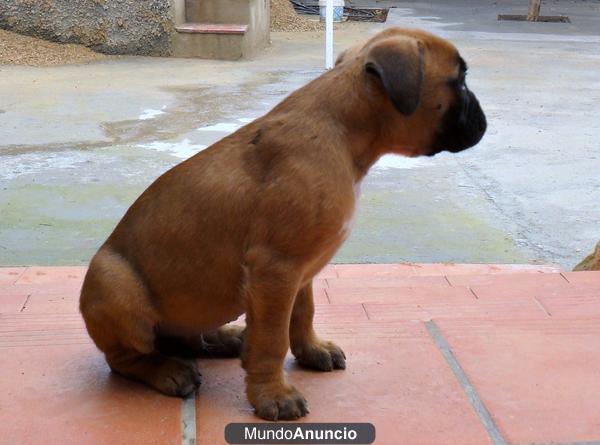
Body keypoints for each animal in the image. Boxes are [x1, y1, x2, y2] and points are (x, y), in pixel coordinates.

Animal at [78, 27, 488, 420]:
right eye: (460, 81)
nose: (484, 122)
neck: (343, 130)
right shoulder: (277, 269)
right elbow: (273, 339)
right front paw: (272, 394)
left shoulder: (301, 269)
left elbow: (302, 313)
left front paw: (311, 350)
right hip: (117, 286)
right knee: (124, 358)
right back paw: (166, 370)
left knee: (187, 337)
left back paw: (224, 339)